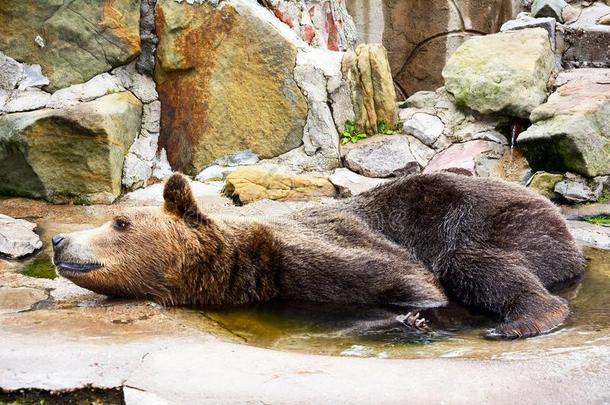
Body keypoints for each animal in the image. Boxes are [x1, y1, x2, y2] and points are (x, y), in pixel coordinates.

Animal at [53, 172, 584, 340]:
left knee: (476, 262)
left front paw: (413, 317)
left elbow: (416, 281)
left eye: (119, 223)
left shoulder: (317, 250)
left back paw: (520, 320)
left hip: (499, 219)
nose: (59, 241)